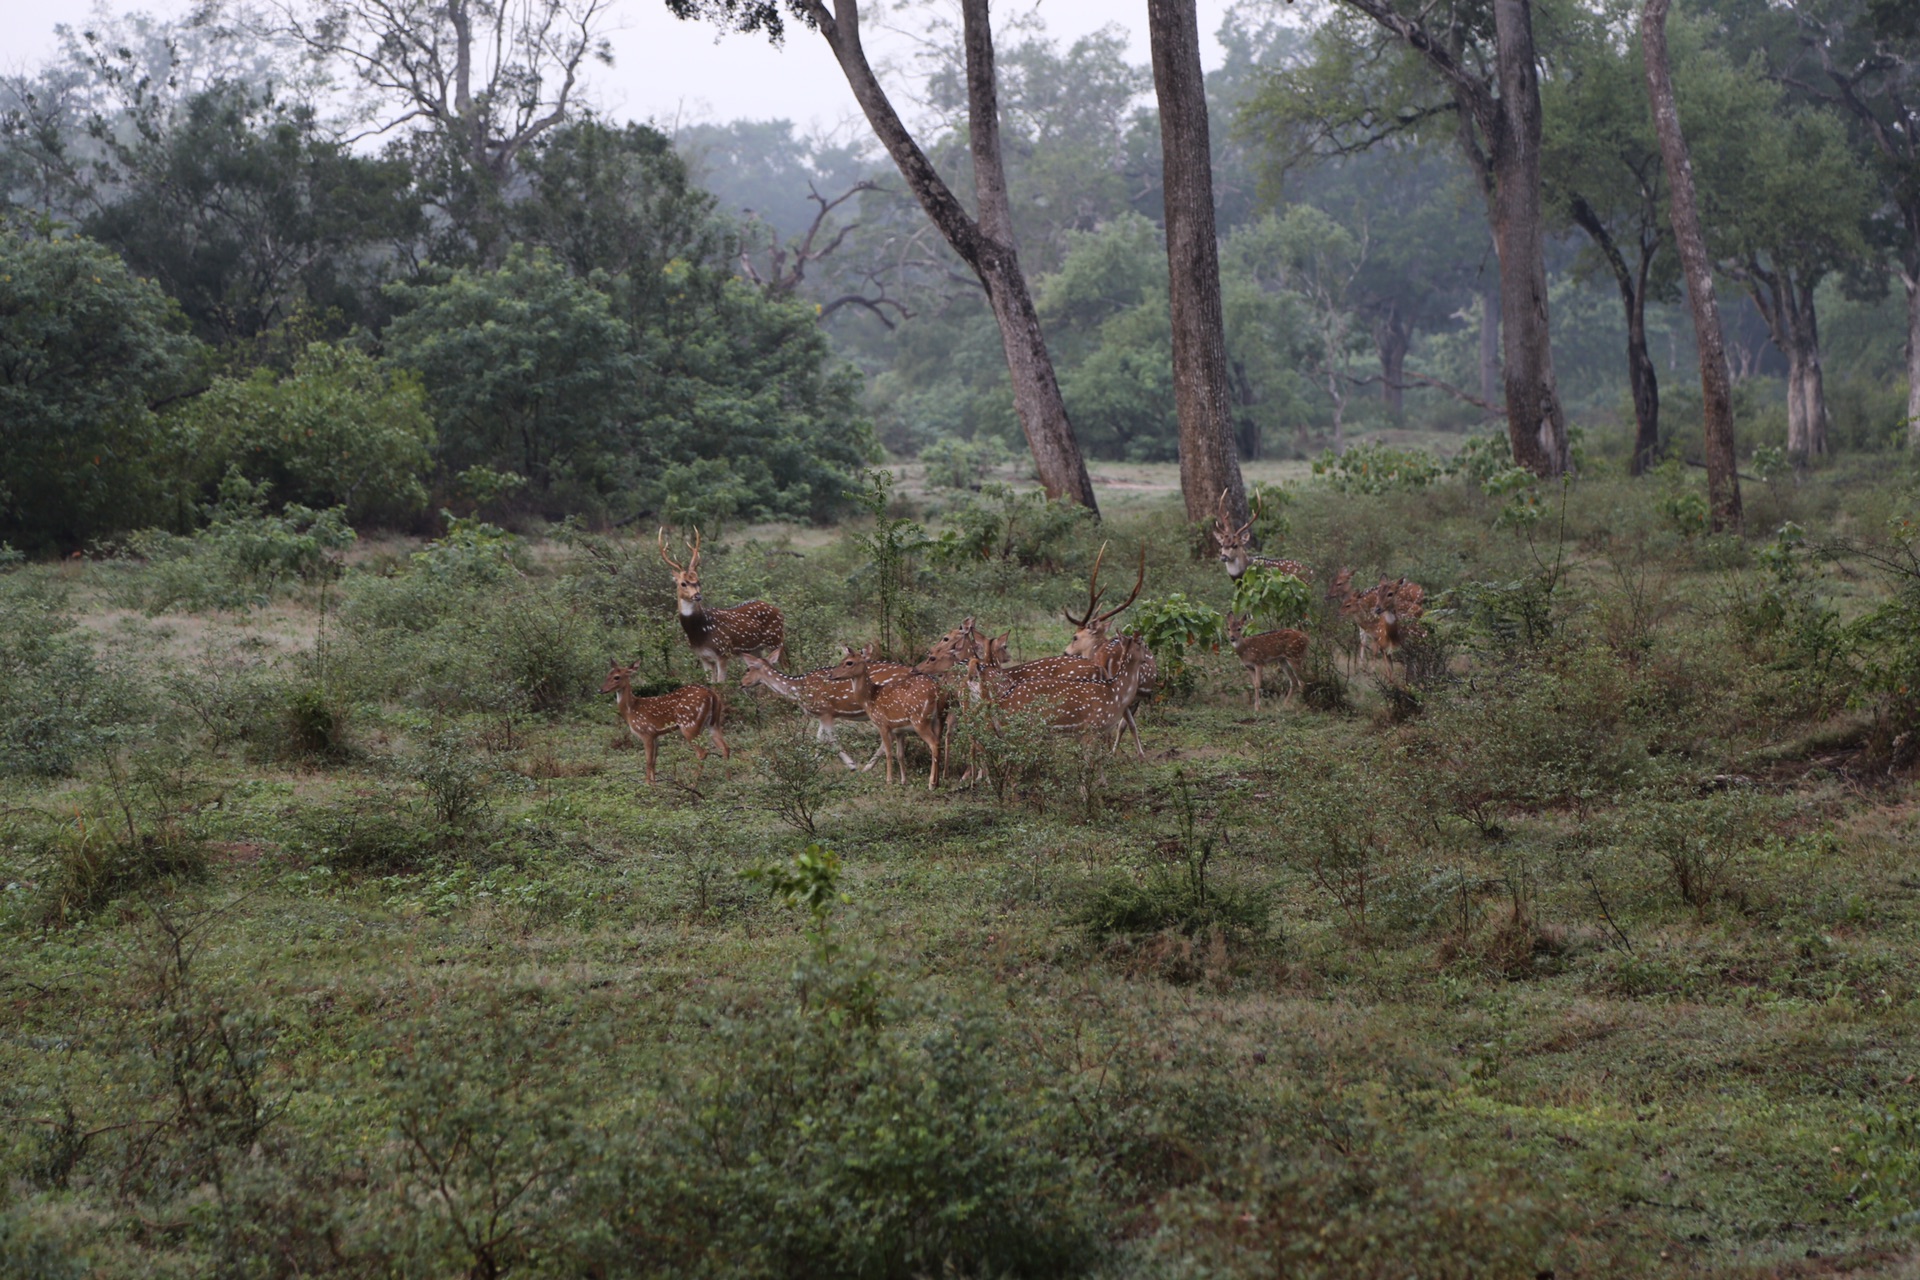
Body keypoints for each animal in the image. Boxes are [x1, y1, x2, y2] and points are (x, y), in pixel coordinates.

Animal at [660, 529, 779, 687]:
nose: (697, 595)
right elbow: (710, 683)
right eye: (683, 583)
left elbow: (720, 683)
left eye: (698, 581)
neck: (700, 632)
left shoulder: (722, 652)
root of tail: (779, 610)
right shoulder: (703, 657)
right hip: (756, 649)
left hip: (776, 639)